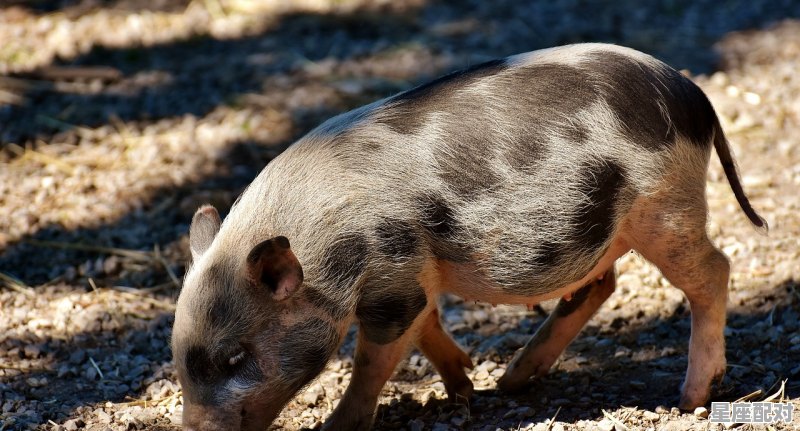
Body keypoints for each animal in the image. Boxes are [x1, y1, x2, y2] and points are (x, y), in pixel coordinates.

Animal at [172, 41, 764, 431]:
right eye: (180, 356)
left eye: (235, 358)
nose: (194, 427)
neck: (326, 246)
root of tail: (692, 94)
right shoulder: (415, 275)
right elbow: (428, 324)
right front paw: (465, 386)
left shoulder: (393, 278)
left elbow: (374, 360)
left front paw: (339, 427)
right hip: (603, 224)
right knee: (600, 284)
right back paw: (513, 380)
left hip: (665, 207)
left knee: (714, 271)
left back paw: (689, 400)